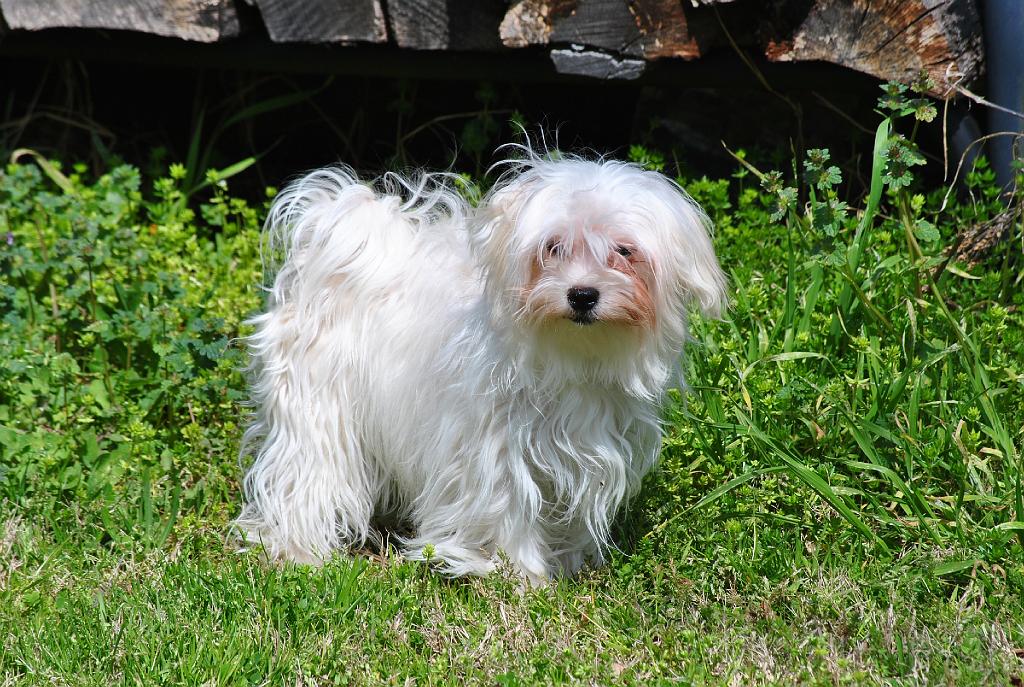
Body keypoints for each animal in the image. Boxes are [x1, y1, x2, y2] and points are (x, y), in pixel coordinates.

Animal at [234, 149, 724, 581]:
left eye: (624, 251)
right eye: (553, 247)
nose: (582, 294)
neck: (571, 355)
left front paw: (566, 563)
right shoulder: (493, 448)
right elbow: (507, 507)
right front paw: (521, 575)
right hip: (317, 408)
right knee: (308, 472)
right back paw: (300, 550)